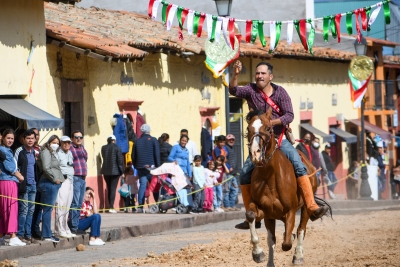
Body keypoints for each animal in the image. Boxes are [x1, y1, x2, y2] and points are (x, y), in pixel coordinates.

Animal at [245, 108, 332, 266]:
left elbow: (286, 244)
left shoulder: (291, 210)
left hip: (305, 208)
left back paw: (298, 255)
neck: (270, 176)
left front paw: (290, 241)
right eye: (248, 129)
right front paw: (258, 253)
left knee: (301, 229)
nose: (255, 154)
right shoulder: (266, 212)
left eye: (268, 128)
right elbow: (255, 221)